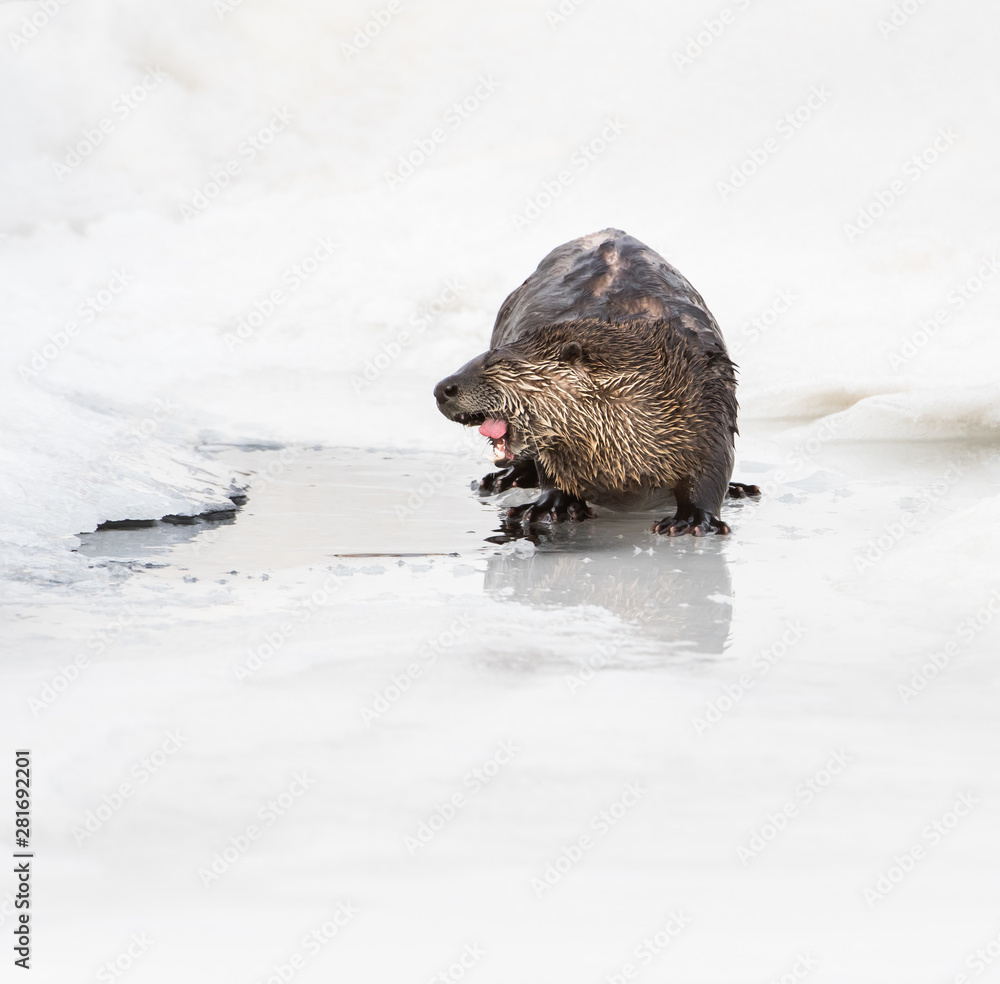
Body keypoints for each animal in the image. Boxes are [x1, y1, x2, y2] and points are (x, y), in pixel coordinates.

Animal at [433, 229, 758, 536]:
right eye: (476, 359)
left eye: (494, 364)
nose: (441, 390)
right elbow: (551, 470)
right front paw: (548, 507)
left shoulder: (708, 395)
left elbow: (712, 468)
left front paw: (692, 520)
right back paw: (502, 479)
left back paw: (741, 489)